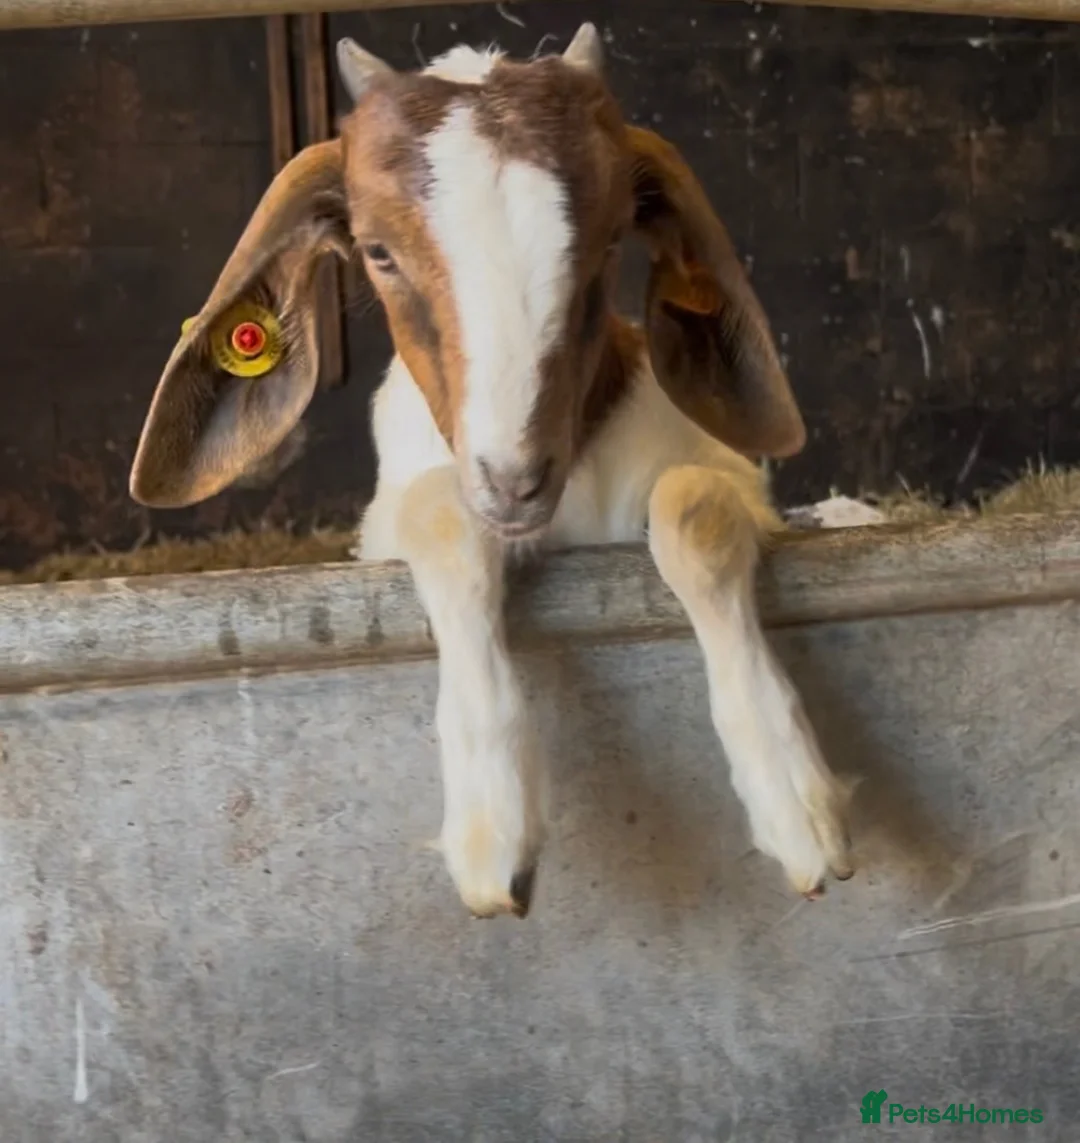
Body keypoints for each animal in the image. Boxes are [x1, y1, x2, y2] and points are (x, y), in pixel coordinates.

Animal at [128, 25, 853, 920]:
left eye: (610, 243)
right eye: (378, 250)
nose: (515, 479)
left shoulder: (726, 476)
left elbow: (693, 510)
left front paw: (796, 801)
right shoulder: (396, 518)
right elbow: (441, 515)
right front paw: (490, 824)